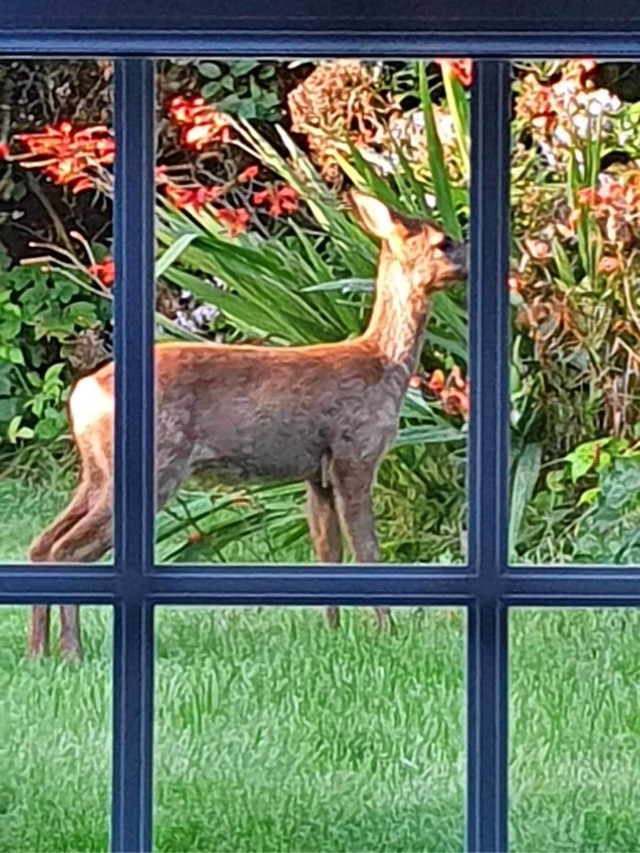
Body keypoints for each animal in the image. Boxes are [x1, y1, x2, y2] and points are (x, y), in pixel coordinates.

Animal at [26, 191, 467, 659]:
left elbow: (327, 551)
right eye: (443, 243)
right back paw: (71, 651)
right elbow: (367, 550)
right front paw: (386, 631)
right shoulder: (355, 452)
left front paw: (333, 631)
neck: (384, 365)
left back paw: (39, 650)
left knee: (43, 544)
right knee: (67, 549)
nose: (472, 260)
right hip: (155, 466)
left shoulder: (316, 474)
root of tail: (83, 393)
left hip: (96, 472)